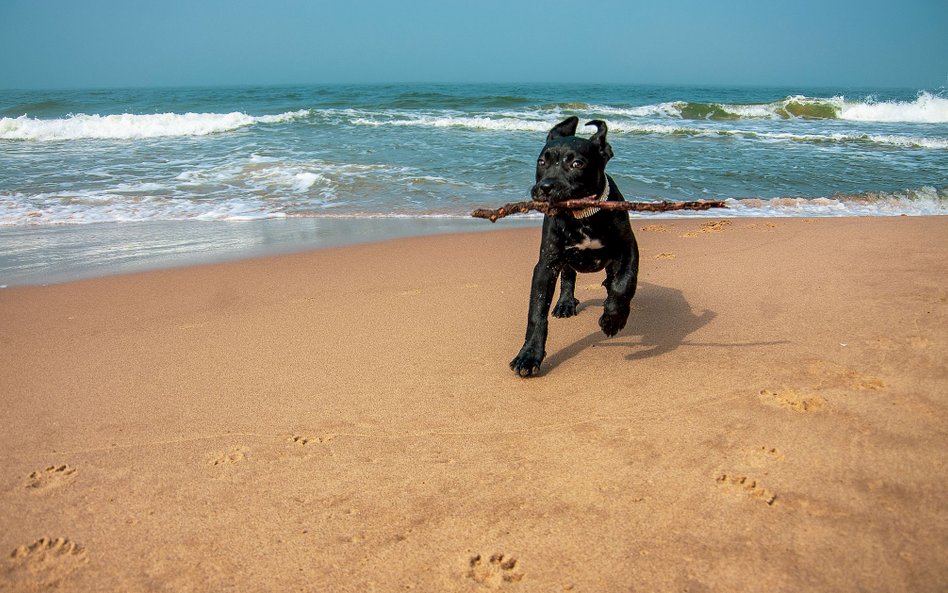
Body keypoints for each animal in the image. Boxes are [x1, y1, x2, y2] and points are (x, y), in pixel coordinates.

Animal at [512, 115, 636, 374]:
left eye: (577, 164)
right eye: (541, 161)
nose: (545, 187)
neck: (582, 216)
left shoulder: (628, 248)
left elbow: (625, 283)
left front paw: (613, 318)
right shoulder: (546, 265)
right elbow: (537, 313)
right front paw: (529, 355)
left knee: (613, 277)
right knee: (568, 277)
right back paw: (565, 303)